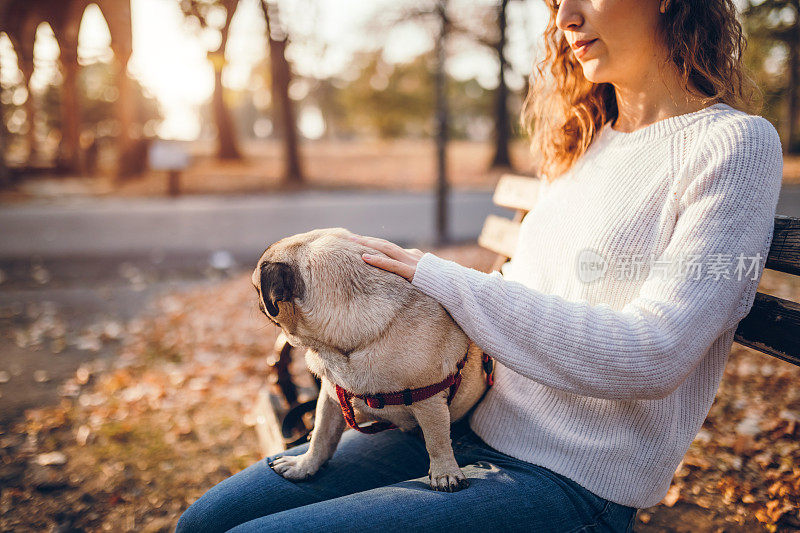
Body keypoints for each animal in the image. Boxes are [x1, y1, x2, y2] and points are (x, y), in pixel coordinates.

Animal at [250, 227, 488, 492]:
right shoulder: (332, 396)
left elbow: (436, 440)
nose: (259, 303)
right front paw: (305, 465)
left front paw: (445, 473)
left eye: (257, 289)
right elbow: (322, 434)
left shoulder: (429, 401)